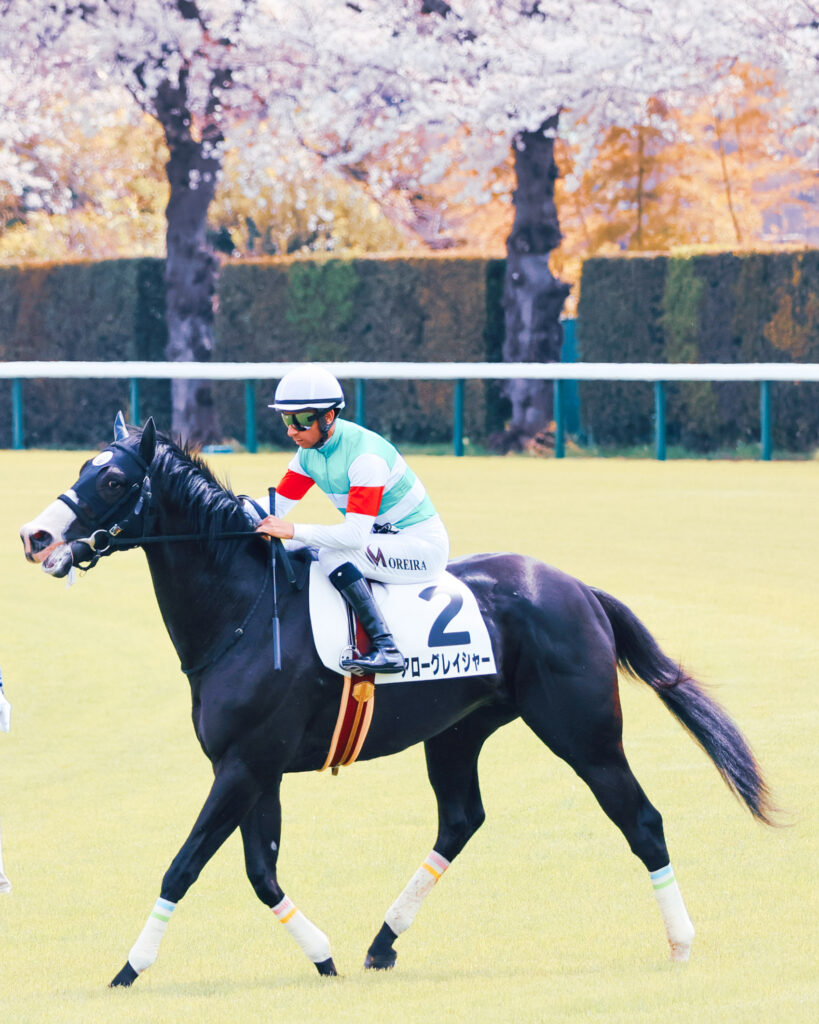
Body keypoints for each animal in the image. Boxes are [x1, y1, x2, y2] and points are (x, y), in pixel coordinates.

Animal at [19, 416, 775, 987]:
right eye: (81, 467)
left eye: (113, 480)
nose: (35, 537)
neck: (245, 610)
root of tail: (579, 589)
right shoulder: (254, 769)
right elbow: (261, 870)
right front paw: (322, 956)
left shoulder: (244, 764)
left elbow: (186, 863)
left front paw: (129, 968)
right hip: (457, 732)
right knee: (460, 821)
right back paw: (382, 941)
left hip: (584, 734)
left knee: (641, 821)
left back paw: (680, 942)